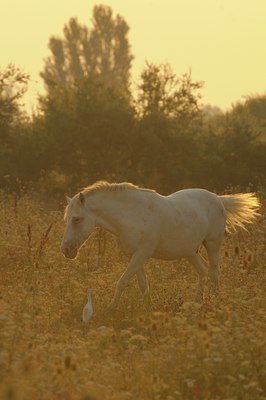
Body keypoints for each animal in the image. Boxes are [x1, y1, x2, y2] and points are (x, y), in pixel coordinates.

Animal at [60, 181, 260, 310]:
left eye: (76, 219)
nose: (66, 250)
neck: (132, 214)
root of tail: (218, 199)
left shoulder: (142, 254)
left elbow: (122, 281)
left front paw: (110, 310)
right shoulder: (135, 256)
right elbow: (143, 284)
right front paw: (150, 309)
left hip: (213, 245)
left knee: (214, 273)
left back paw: (215, 303)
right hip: (190, 252)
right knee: (203, 270)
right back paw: (197, 303)